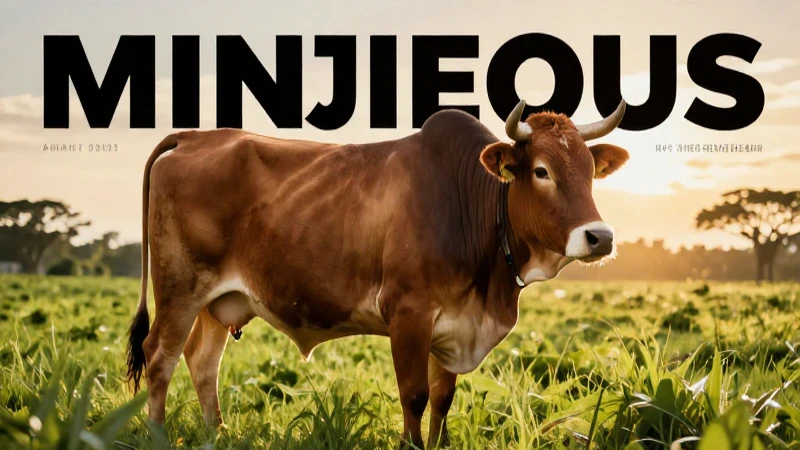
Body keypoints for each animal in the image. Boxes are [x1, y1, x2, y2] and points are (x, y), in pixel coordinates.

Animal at [126, 99, 629, 449]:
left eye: (590, 171)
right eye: (542, 171)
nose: (599, 237)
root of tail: (193, 136)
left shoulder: (453, 326)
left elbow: (442, 398)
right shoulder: (408, 313)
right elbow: (415, 395)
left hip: (218, 301)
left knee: (202, 361)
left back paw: (218, 434)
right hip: (179, 289)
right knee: (159, 357)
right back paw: (159, 435)